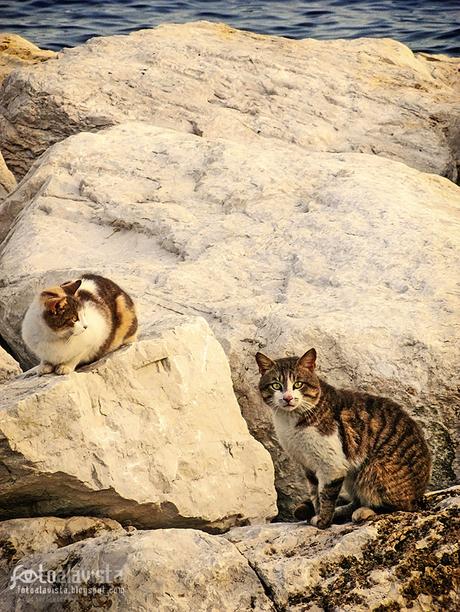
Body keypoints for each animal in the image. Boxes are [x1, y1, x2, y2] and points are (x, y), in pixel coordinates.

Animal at [255, 350, 432, 532]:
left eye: (298, 384)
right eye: (276, 385)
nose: (288, 398)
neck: (290, 421)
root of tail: (419, 495)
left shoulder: (332, 465)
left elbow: (325, 496)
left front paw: (323, 521)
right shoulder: (308, 465)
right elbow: (315, 494)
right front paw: (318, 514)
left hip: (374, 471)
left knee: (396, 505)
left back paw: (363, 511)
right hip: (354, 476)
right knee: (356, 500)